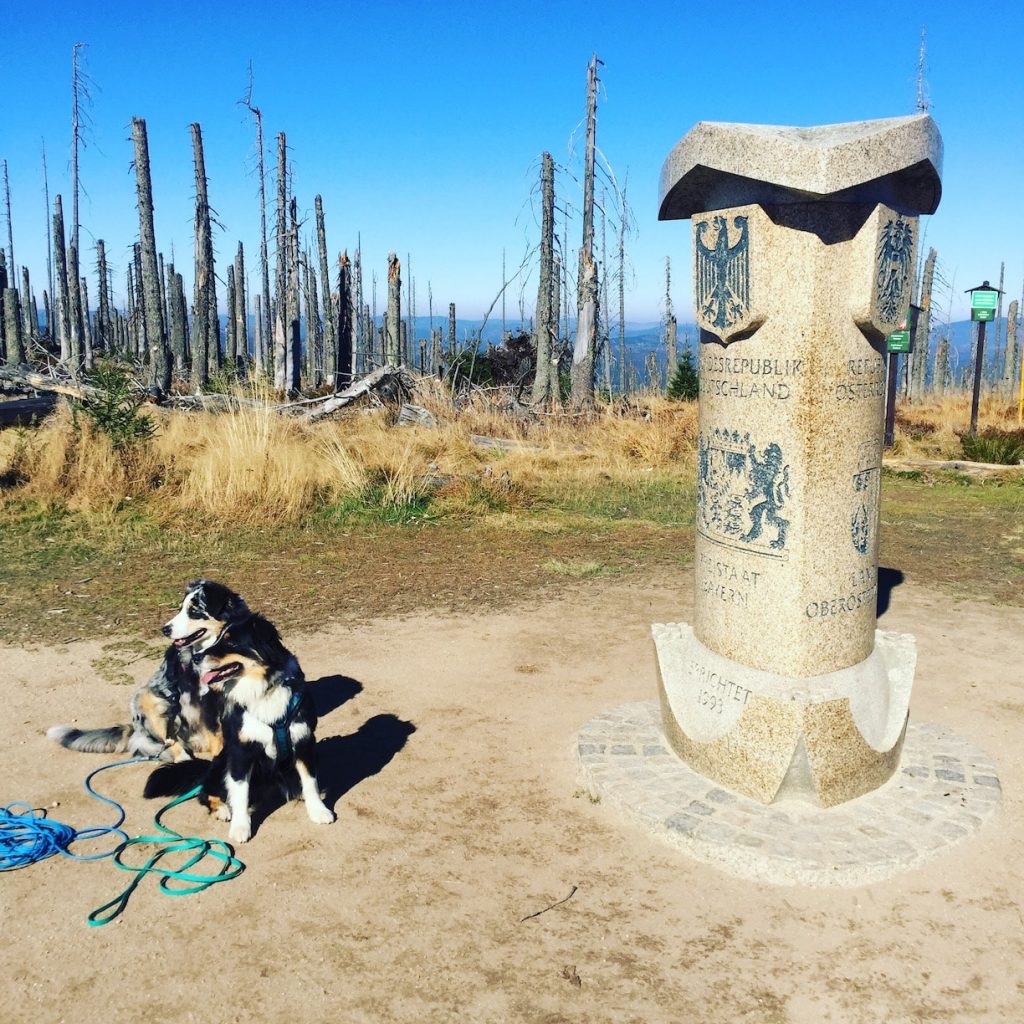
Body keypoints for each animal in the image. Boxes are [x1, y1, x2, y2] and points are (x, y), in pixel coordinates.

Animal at [50, 585, 250, 761]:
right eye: (180, 609)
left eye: (194, 611)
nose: (165, 629)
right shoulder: (205, 699)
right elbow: (216, 737)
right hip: (147, 699)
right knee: (167, 743)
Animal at [195, 614, 331, 839]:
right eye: (218, 638)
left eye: (231, 642)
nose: (195, 658)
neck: (265, 688)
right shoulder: (240, 750)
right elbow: (240, 790)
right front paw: (240, 827)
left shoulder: (304, 740)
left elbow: (310, 780)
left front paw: (318, 810)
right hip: (221, 762)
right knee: (206, 793)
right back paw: (222, 810)